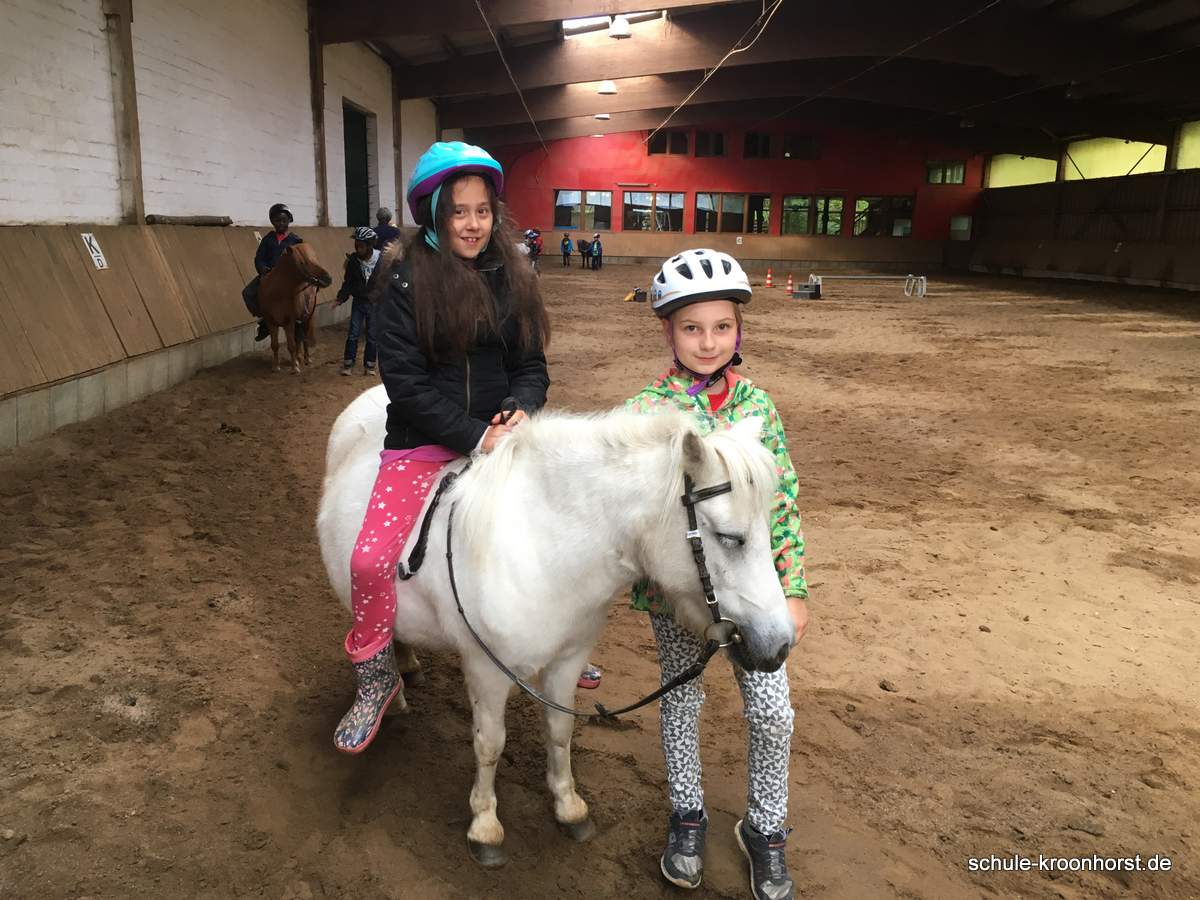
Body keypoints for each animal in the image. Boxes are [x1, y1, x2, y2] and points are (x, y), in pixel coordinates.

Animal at [258, 242, 332, 373]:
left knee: (304, 339)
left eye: (315, 259)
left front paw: (295, 368)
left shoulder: (289, 321)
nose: (328, 278)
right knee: (299, 338)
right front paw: (275, 366)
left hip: (307, 318)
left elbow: (291, 345)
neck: (277, 292)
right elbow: (275, 345)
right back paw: (298, 358)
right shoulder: (270, 321)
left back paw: (306, 359)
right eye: (302, 262)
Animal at [316, 385, 794, 867]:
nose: (781, 644)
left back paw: (407, 664)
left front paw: (568, 807)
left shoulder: (568, 659)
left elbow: (560, 730)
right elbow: (490, 743)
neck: (541, 545)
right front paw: (484, 827)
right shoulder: (486, 669)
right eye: (730, 538)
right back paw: (381, 696)